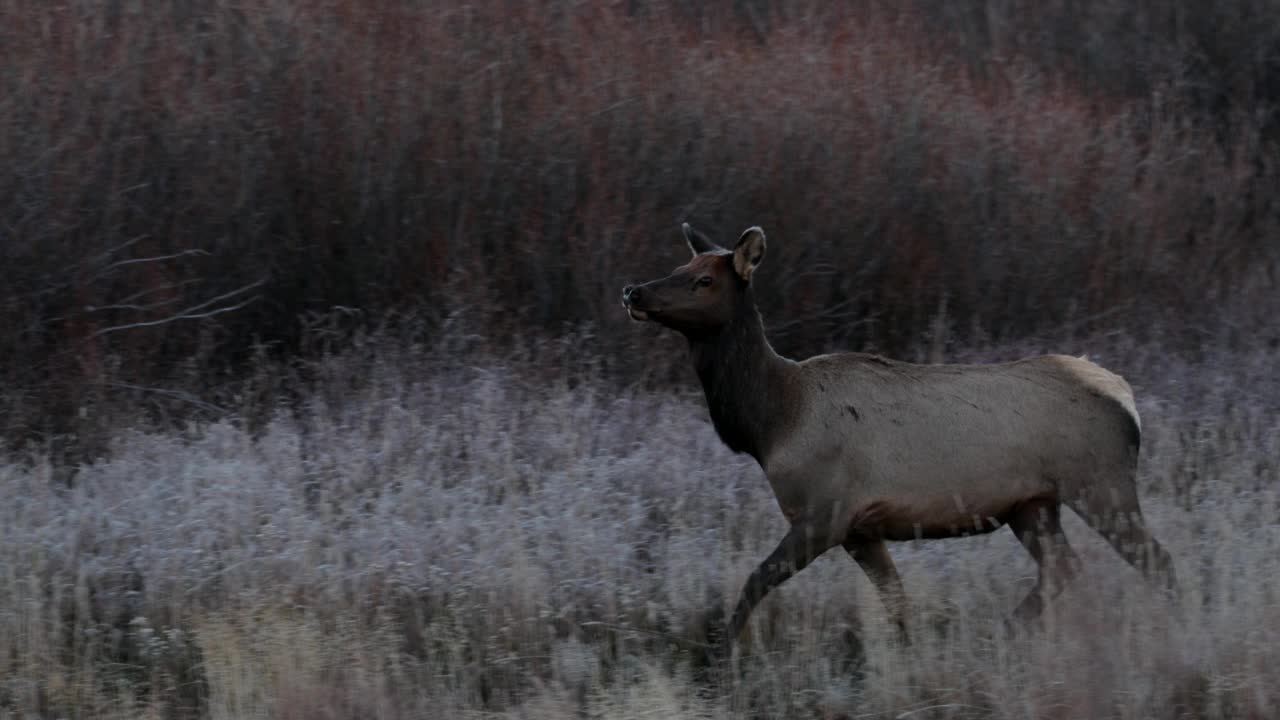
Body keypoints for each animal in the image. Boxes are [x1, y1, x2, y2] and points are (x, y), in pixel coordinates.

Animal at [622, 222, 1177, 650]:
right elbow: (897, 604)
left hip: (1100, 482)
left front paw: (723, 657)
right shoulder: (861, 528)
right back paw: (1002, 634)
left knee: (1158, 560)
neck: (771, 422)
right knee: (1064, 567)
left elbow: (756, 581)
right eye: (679, 266)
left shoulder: (825, 511)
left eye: (703, 279)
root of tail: (1127, 400)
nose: (633, 291)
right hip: (1033, 504)